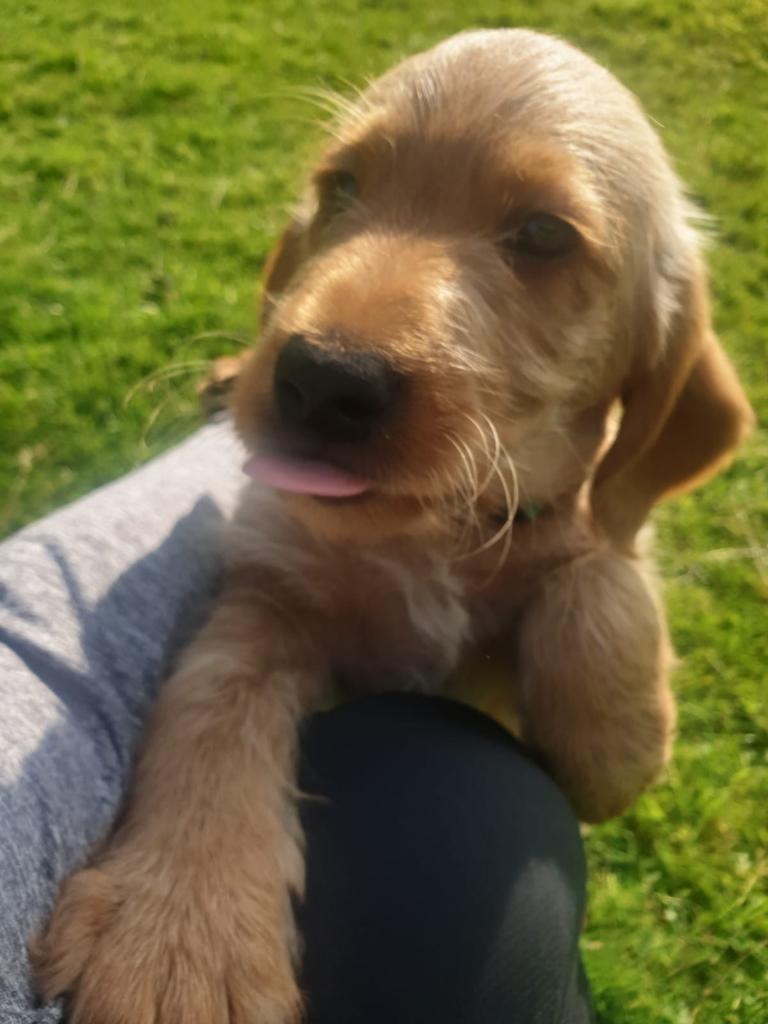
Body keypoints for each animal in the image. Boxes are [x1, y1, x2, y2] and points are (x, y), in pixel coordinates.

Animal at [34, 28, 753, 1023]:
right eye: (341, 189)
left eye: (543, 235)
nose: (322, 378)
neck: (431, 536)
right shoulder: (270, 587)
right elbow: (210, 706)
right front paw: (177, 929)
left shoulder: (576, 550)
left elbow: (602, 552)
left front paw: (616, 726)